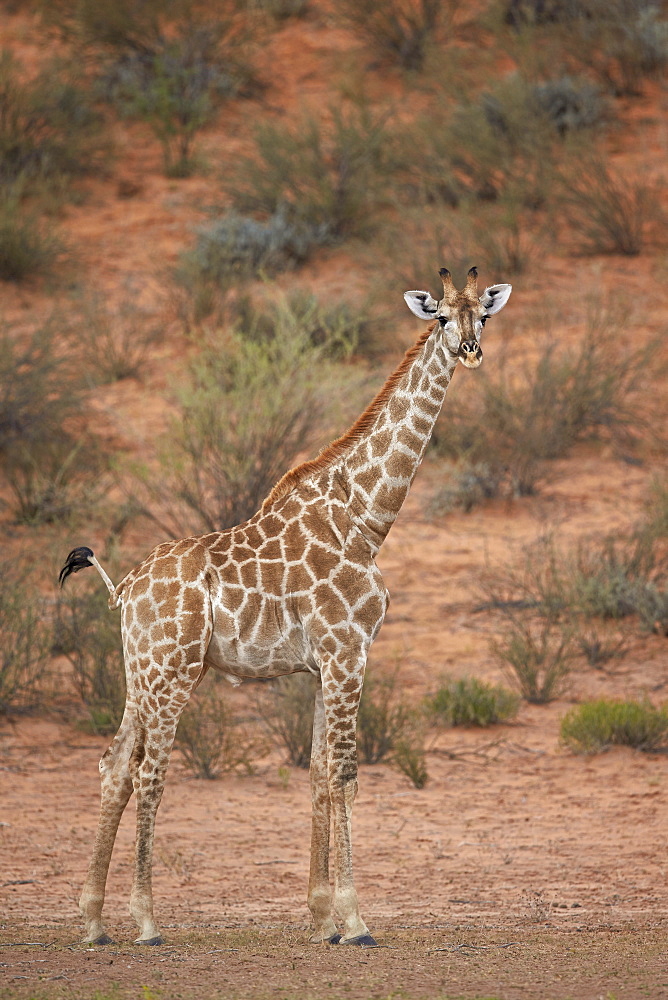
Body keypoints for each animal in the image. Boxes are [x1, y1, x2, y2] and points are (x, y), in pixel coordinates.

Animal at [61, 270, 512, 948]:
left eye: (481, 315)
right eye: (438, 316)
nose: (470, 350)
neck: (367, 518)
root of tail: (124, 589)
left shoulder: (325, 663)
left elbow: (320, 772)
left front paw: (324, 917)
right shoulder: (348, 651)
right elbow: (347, 773)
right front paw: (356, 920)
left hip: (140, 672)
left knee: (114, 766)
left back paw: (92, 922)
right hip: (172, 672)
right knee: (149, 773)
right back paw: (145, 921)